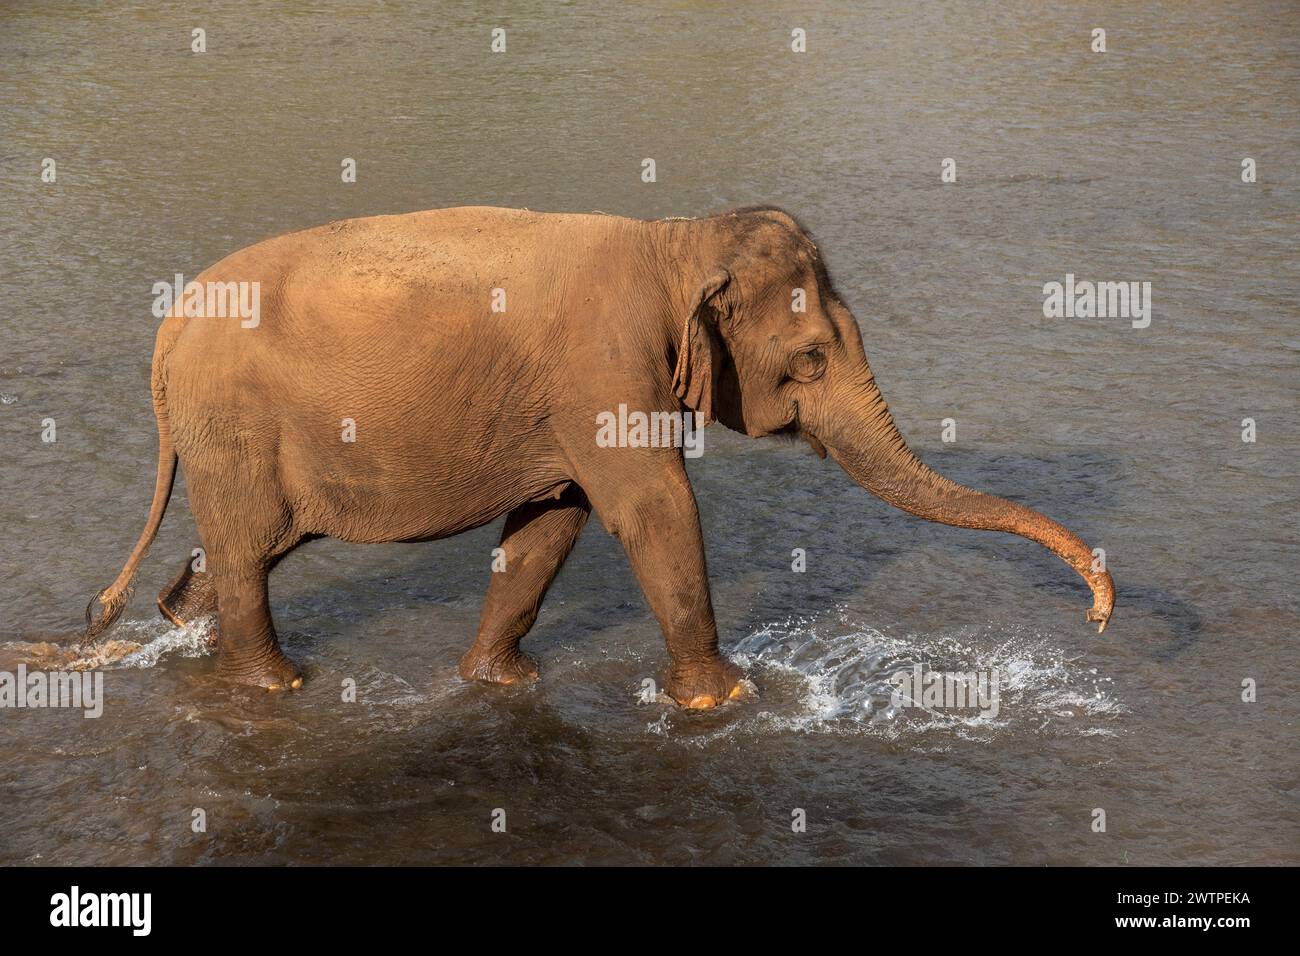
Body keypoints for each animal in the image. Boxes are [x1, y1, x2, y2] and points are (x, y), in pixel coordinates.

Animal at [83, 204, 1118, 712]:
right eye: (813, 359)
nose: (1102, 615)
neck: (676, 244)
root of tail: (165, 335)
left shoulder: (571, 405)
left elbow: (553, 521)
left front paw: (498, 683)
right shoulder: (605, 367)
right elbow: (654, 511)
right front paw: (725, 701)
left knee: (244, 550)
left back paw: (182, 626)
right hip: (235, 430)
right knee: (251, 551)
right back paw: (277, 684)